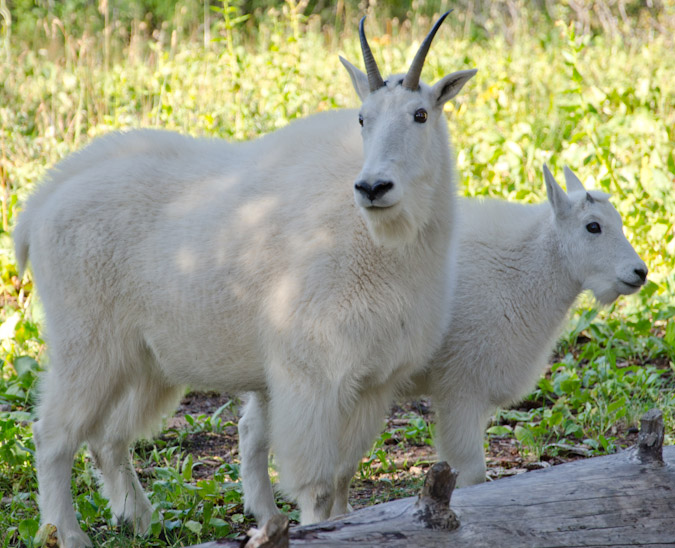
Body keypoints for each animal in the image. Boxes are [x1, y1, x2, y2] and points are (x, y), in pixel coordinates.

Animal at [11, 12, 476, 548]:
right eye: (363, 118)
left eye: (421, 115)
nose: (373, 187)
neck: (382, 241)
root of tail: (40, 205)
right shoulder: (311, 376)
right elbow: (318, 484)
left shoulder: (373, 383)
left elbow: (342, 476)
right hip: (85, 345)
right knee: (53, 435)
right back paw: (68, 533)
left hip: (146, 361)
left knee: (108, 438)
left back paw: (142, 521)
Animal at [240, 164, 648, 524]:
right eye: (593, 226)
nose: (639, 272)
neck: (524, 271)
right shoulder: (462, 389)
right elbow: (472, 473)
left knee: (251, 430)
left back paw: (267, 515)